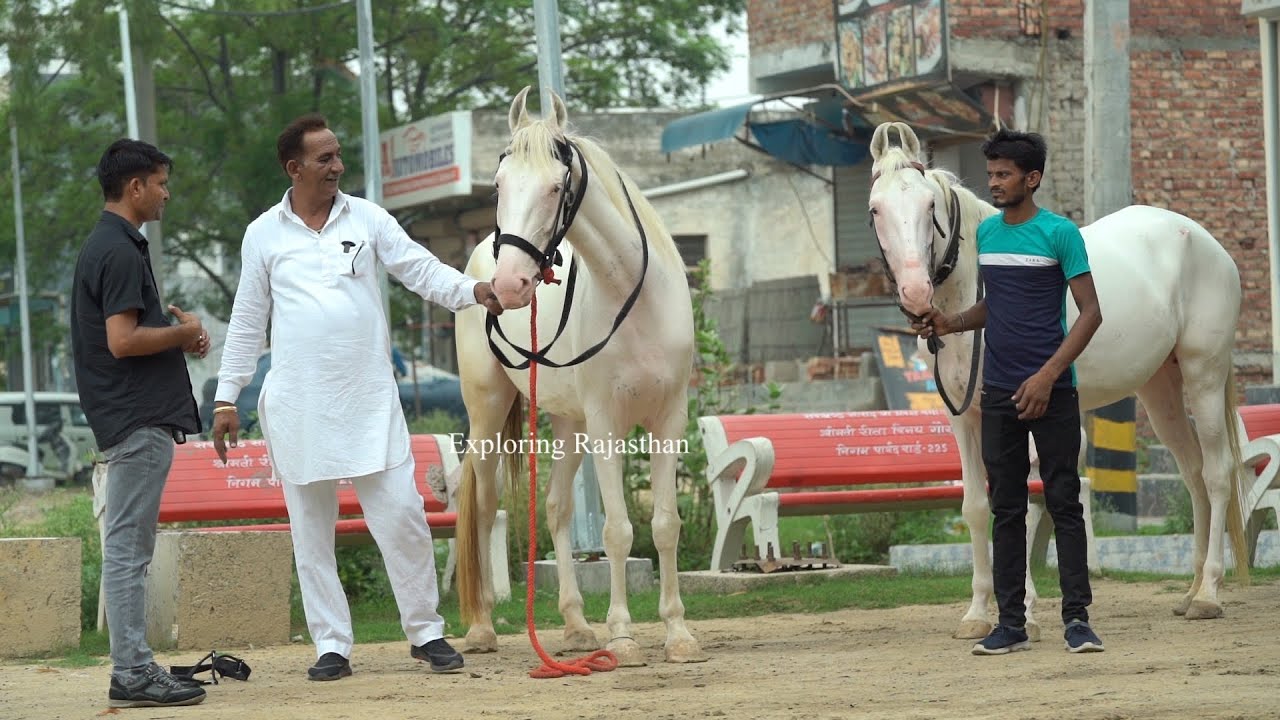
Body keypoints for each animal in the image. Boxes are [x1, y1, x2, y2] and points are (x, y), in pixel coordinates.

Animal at [450, 86, 704, 665]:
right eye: (498, 185)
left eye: (554, 186)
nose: (510, 284)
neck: (634, 297)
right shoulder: (608, 424)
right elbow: (617, 531)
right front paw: (624, 636)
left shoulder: (668, 420)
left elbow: (664, 525)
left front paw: (677, 633)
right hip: (488, 411)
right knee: (484, 503)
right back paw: (482, 628)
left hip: (569, 424)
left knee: (556, 507)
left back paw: (574, 625)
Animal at [866, 121, 1251, 640]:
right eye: (876, 209)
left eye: (929, 206)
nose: (915, 292)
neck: (975, 290)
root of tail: (1205, 242)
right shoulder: (965, 419)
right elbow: (977, 506)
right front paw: (979, 613)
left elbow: (1023, 503)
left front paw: (1023, 610)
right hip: (1160, 388)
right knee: (1191, 472)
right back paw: (1190, 591)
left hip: (1203, 373)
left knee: (1216, 471)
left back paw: (1208, 594)